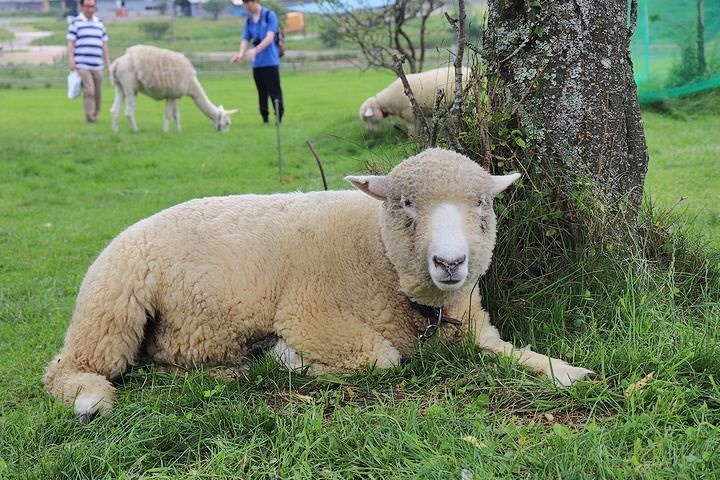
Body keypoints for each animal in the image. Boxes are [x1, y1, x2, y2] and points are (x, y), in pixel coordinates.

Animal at [46, 146, 596, 420]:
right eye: (405, 203)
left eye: (482, 202)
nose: (450, 262)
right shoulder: (312, 316)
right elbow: (382, 357)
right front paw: (287, 358)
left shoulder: (475, 327)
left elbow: (514, 352)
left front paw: (568, 372)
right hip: (110, 308)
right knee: (67, 368)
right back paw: (89, 400)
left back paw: (225, 371)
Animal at [109, 44, 238, 133]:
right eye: (227, 123)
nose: (224, 134)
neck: (192, 85)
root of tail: (117, 63)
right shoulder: (170, 95)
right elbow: (168, 114)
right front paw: (166, 132)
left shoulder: (175, 95)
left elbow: (176, 114)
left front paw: (179, 131)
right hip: (130, 87)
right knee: (129, 112)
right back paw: (136, 130)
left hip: (119, 86)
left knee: (114, 110)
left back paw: (115, 131)